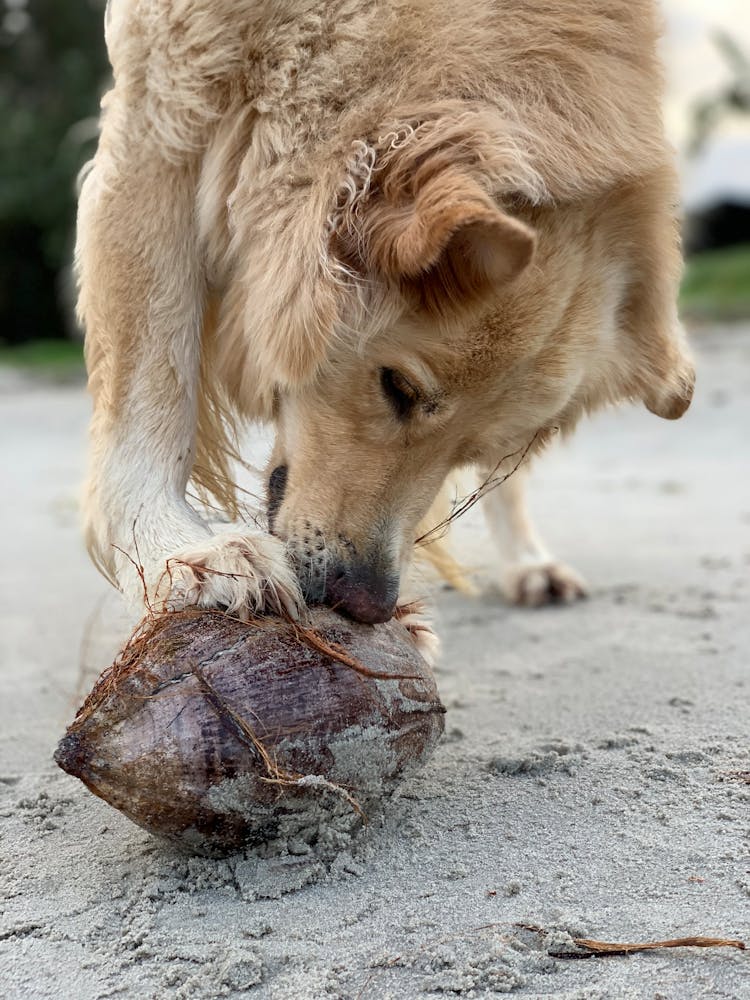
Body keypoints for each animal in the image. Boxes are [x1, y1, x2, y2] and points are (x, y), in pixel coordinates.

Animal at [75, 0, 692, 648]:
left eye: (469, 449)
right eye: (397, 388)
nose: (367, 604)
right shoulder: (159, 107)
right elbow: (149, 386)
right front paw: (178, 550)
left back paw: (528, 560)